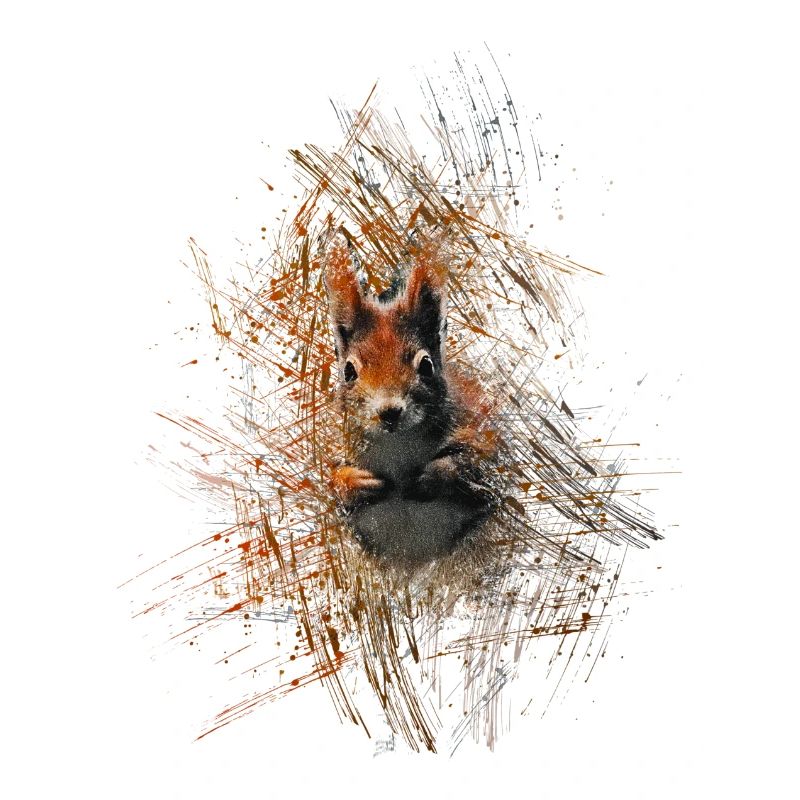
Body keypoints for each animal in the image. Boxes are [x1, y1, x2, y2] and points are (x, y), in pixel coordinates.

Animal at [322, 230, 499, 566]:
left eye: (426, 364)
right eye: (348, 371)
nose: (389, 411)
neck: (398, 445)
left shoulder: (484, 437)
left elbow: (479, 465)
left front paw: (433, 475)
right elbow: (331, 479)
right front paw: (357, 483)